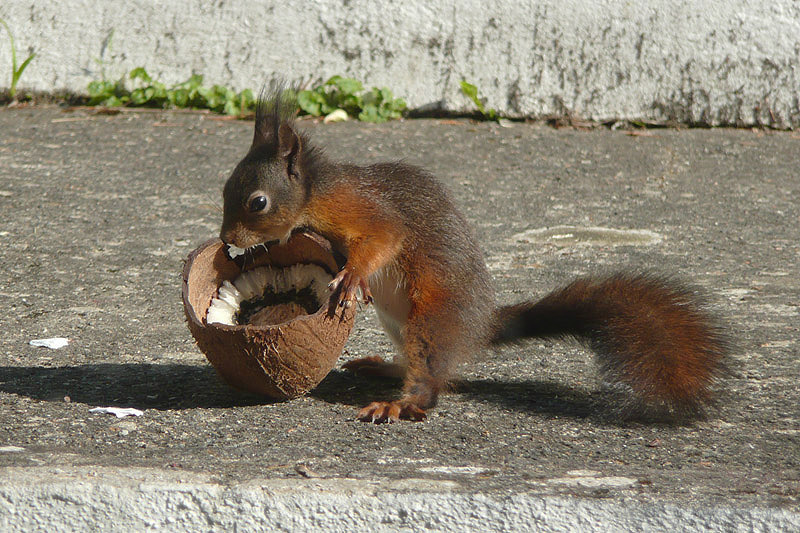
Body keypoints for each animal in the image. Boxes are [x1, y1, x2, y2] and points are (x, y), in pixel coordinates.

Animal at [217, 92, 724, 424]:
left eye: (257, 202)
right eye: (224, 188)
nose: (226, 239)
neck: (316, 194)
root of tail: (478, 326)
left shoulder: (365, 210)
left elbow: (381, 242)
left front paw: (353, 278)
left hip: (432, 318)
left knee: (431, 381)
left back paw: (401, 404)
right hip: (398, 323)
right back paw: (384, 368)